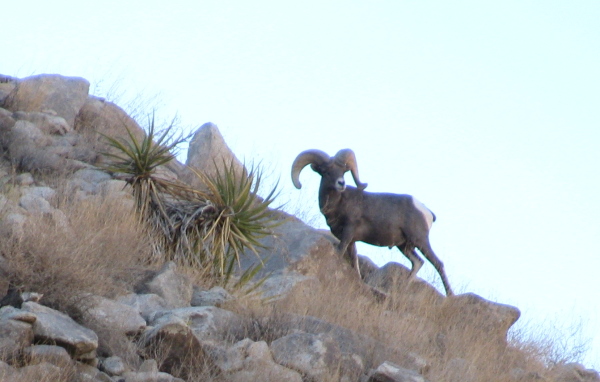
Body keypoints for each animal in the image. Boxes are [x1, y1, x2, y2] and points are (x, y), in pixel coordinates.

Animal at [292, 148, 454, 296]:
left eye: (343, 171)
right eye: (326, 171)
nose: (341, 183)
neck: (338, 203)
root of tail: (426, 211)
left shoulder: (348, 233)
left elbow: (340, 251)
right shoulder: (352, 241)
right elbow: (354, 261)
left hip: (420, 241)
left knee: (437, 264)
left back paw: (450, 295)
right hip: (404, 246)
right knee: (417, 262)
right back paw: (401, 288)